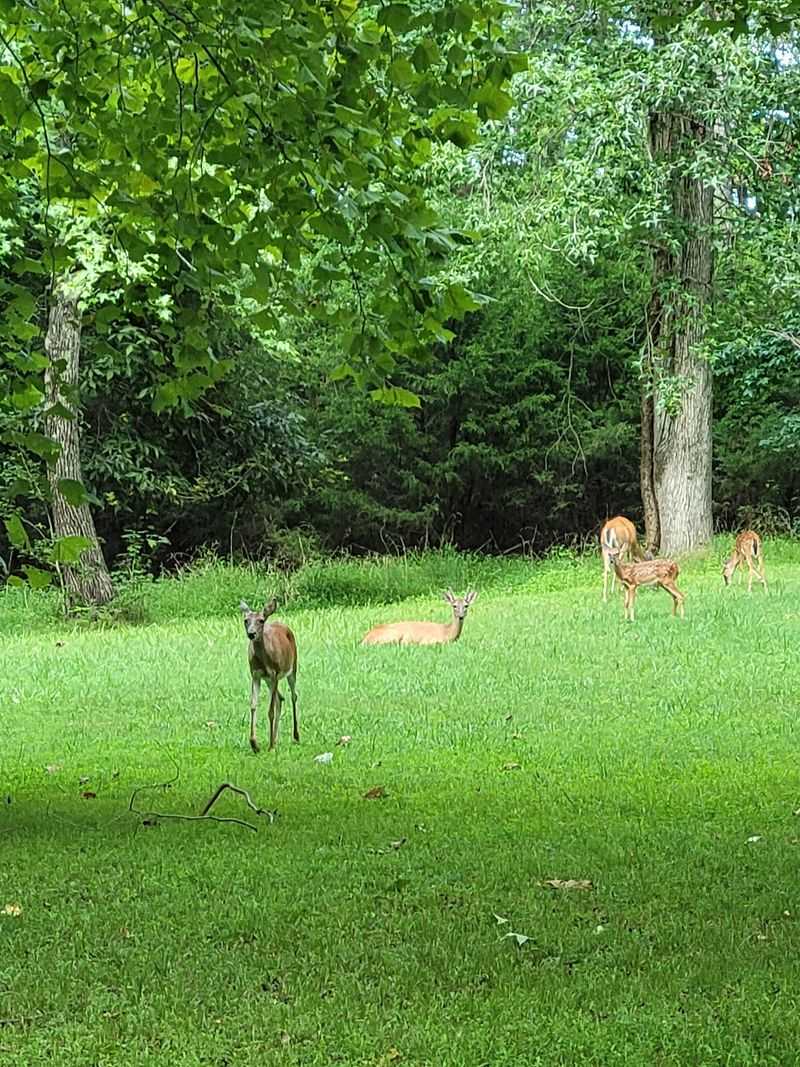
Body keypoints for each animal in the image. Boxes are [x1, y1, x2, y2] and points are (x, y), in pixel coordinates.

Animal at [239, 599, 298, 753]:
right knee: (280, 698)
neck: (263, 660)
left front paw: (269, 746)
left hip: (292, 667)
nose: (251, 634)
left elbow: (270, 711)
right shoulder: (256, 674)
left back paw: (295, 736)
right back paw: (275, 739)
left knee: (293, 696)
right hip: (269, 680)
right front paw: (254, 744)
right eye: (246, 620)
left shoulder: (274, 673)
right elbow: (253, 705)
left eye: (261, 620)